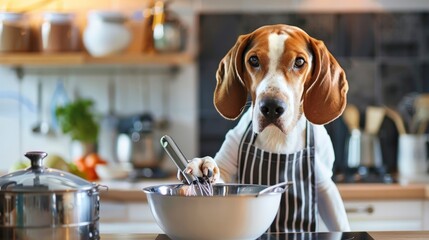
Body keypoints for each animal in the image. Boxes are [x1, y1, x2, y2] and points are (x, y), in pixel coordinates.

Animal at [183, 23, 348, 231]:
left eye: (299, 62)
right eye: (253, 60)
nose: (271, 107)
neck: (277, 136)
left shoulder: (324, 185)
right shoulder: (227, 172)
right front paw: (202, 164)